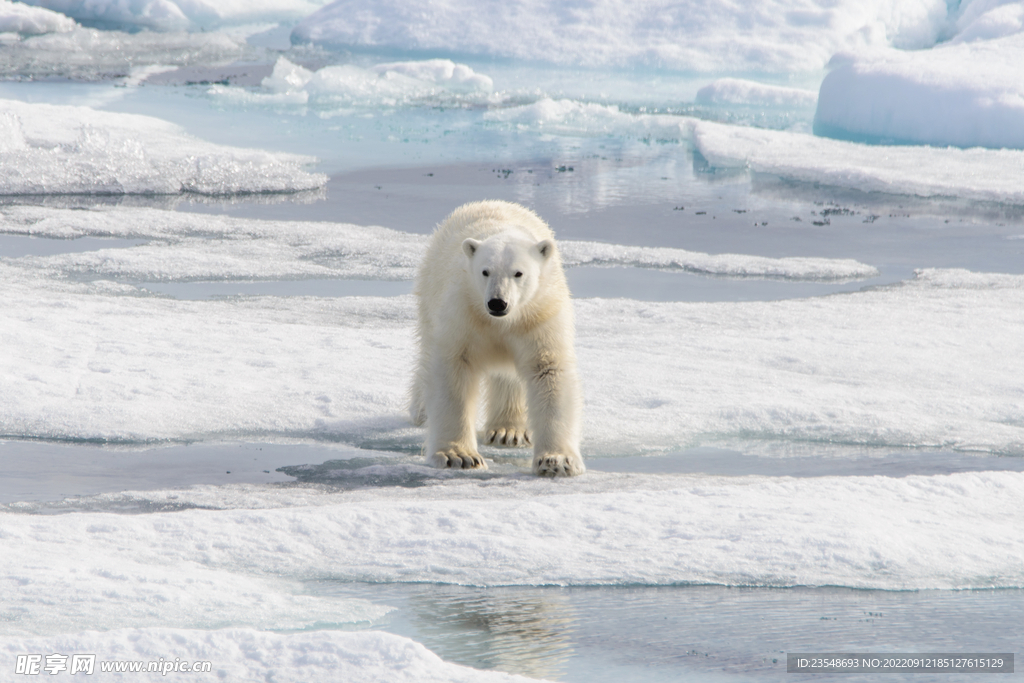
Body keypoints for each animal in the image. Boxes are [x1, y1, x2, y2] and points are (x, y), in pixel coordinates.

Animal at [407, 200, 585, 479]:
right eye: (485, 271)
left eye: (518, 273)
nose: (497, 302)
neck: (501, 321)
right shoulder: (464, 312)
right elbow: (453, 369)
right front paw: (459, 456)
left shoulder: (539, 315)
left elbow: (547, 370)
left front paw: (557, 461)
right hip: (429, 287)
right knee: (427, 349)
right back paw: (421, 410)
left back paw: (508, 431)